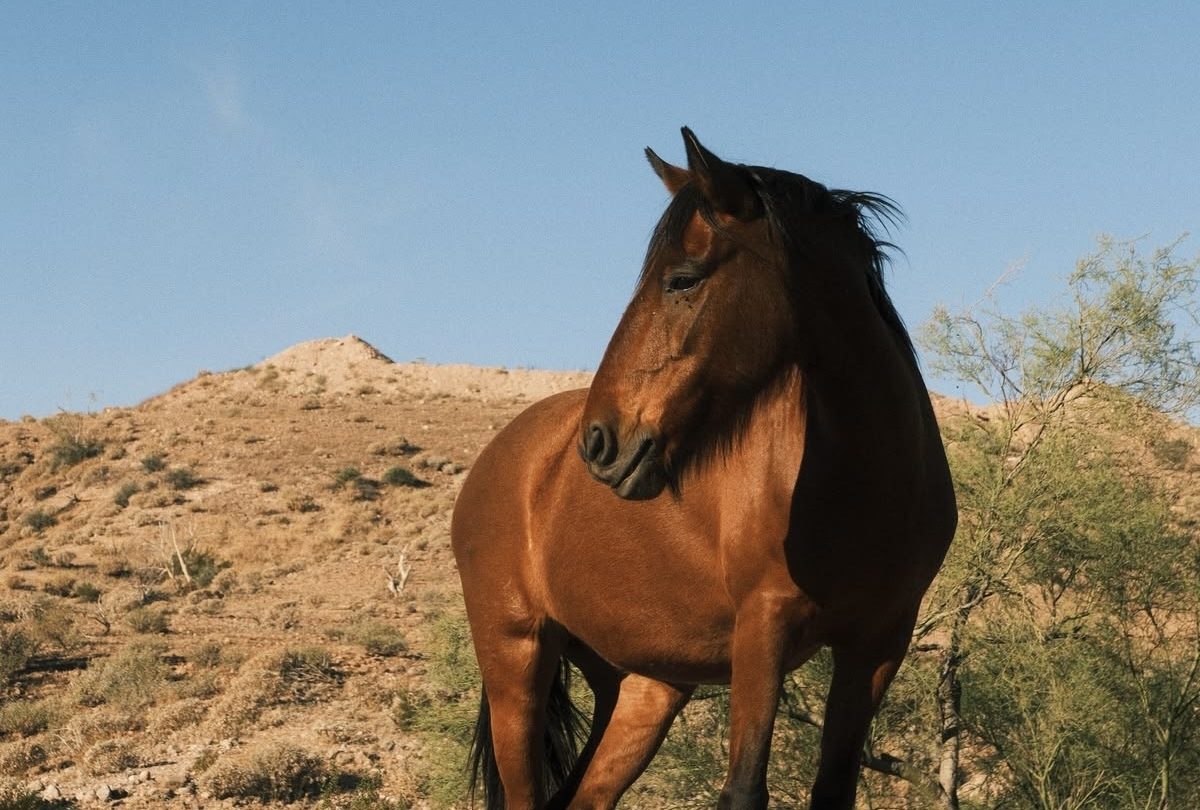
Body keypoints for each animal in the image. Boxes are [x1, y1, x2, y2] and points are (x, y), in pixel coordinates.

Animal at [451, 128, 957, 810]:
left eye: (682, 279)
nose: (600, 441)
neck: (865, 485)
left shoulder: (877, 645)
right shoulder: (763, 630)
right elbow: (743, 790)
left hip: (642, 686)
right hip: (516, 662)